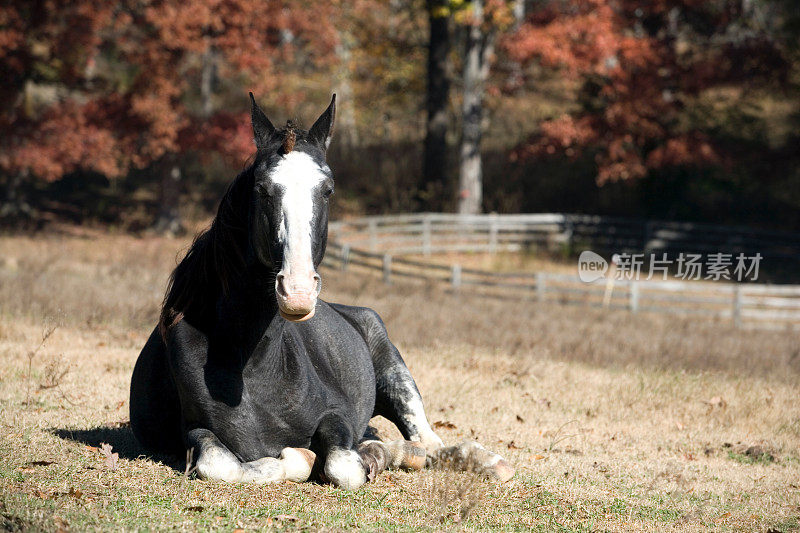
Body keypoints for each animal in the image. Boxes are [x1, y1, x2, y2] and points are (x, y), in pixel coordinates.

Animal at [128, 93, 516, 488]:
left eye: (327, 189)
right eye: (261, 189)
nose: (297, 291)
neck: (250, 366)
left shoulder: (337, 415)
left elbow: (341, 463)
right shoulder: (195, 432)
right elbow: (221, 464)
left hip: (396, 377)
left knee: (429, 443)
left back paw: (487, 461)